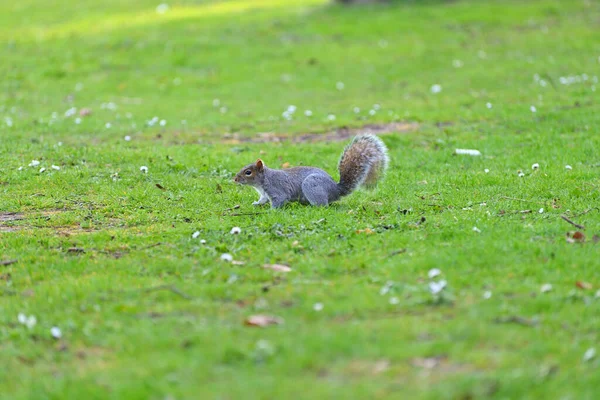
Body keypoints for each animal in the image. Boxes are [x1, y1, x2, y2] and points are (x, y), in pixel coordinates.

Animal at [234, 135, 390, 209]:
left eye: (248, 172)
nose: (235, 179)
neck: (263, 180)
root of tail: (336, 190)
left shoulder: (276, 189)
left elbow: (279, 200)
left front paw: (271, 211)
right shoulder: (265, 194)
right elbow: (263, 200)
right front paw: (256, 204)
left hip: (312, 185)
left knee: (323, 205)